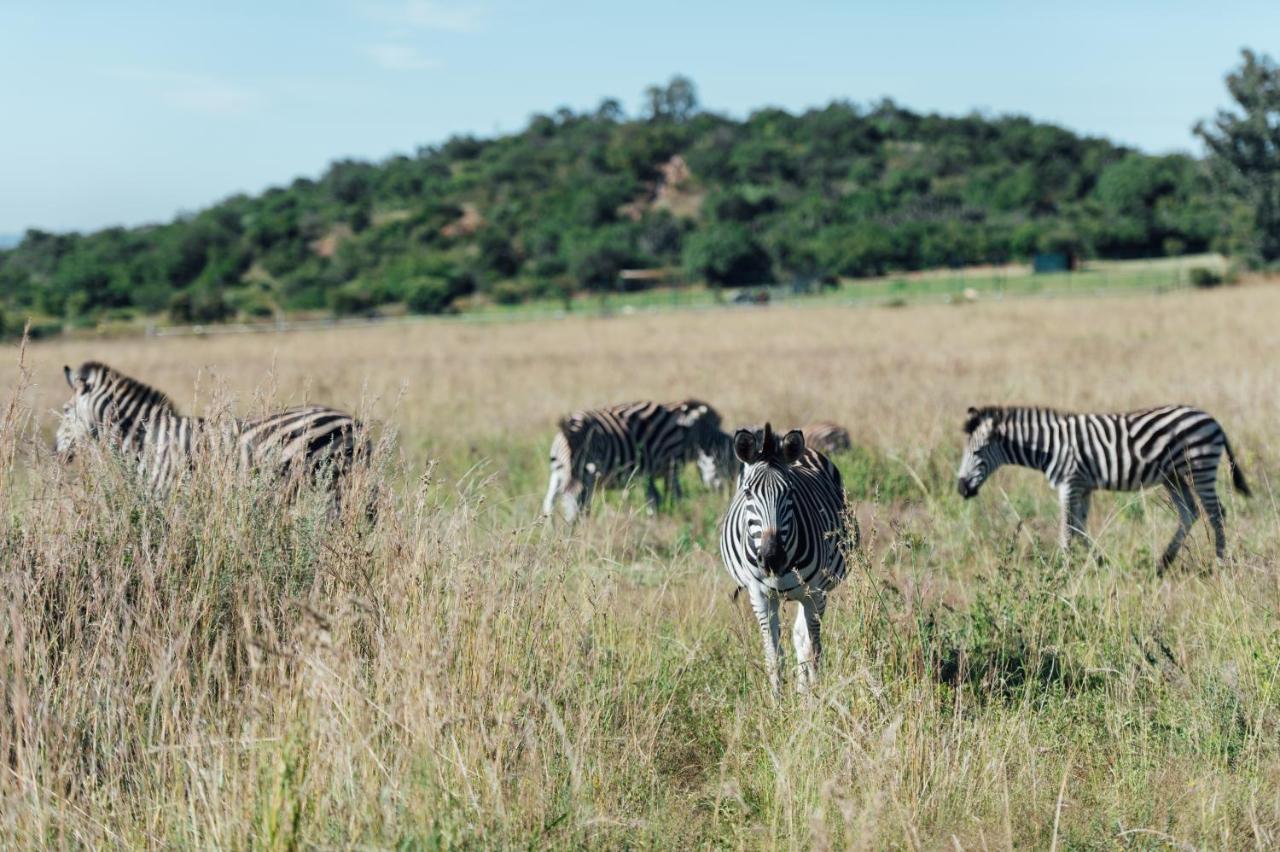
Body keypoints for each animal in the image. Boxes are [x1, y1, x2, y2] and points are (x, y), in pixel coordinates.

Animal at [60, 355, 371, 504]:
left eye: (64, 412)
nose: (57, 455)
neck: (148, 438)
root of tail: (354, 422)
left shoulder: (168, 494)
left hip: (331, 483)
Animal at [537, 396, 721, 521]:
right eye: (715, 454)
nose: (719, 491)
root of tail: (569, 431)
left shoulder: (647, 472)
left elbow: (654, 499)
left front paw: (655, 522)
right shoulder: (671, 465)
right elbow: (675, 496)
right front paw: (677, 518)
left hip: (559, 471)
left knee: (550, 502)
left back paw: (551, 532)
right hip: (583, 474)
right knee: (575, 502)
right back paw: (573, 531)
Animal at [716, 422, 855, 695]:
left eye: (790, 492)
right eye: (748, 494)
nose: (773, 558)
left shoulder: (815, 593)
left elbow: (811, 650)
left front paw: (812, 698)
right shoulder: (759, 595)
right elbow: (773, 654)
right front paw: (777, 700)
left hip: (816, 593)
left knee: (803, 639)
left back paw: (804, 691)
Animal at [962, 404, 1249, 570]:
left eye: (976, 452)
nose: (961, 489)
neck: (1050, 446)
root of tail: (1212, 419)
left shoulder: (1070, 483)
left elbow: (1067, 529)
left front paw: (1063, 570)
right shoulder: (1083, 486)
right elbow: (1079, 527)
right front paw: (1100, 561)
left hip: (1199, 467)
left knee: (1216, 513)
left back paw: (1220, 563)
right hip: (1174, 476)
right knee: (1190, 512)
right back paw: (1163, 563)